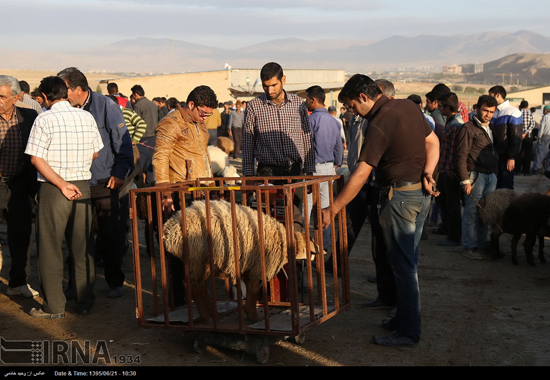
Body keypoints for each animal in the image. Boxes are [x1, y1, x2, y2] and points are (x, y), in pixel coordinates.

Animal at [162, 199, 322, 324]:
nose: (321, 251)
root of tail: (170, 233)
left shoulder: (249, 268)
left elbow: (251, 289)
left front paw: (249, 311)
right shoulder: (256, 266)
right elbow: (254, 290)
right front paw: (253, 316)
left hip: (199, 264)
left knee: (199, 287)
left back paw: (212, 313)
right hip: (199, 260)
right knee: (194, 287)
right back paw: (206, 316)